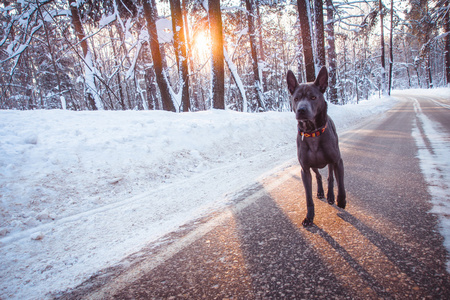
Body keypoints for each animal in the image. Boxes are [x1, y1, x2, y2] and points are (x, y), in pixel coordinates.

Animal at [286, 67, 346, 226]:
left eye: (313, 97)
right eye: (296, 99)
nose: (301, 110)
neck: (312, 132)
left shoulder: (338, 161)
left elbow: (341, 183)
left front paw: (341, 200)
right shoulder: (305, 170)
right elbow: (308, 197)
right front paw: (309, 217)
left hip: (331, 162)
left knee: (330, 177)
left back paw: (331, 196)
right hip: (313, 166)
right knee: (318, 176)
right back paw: (320, 192)